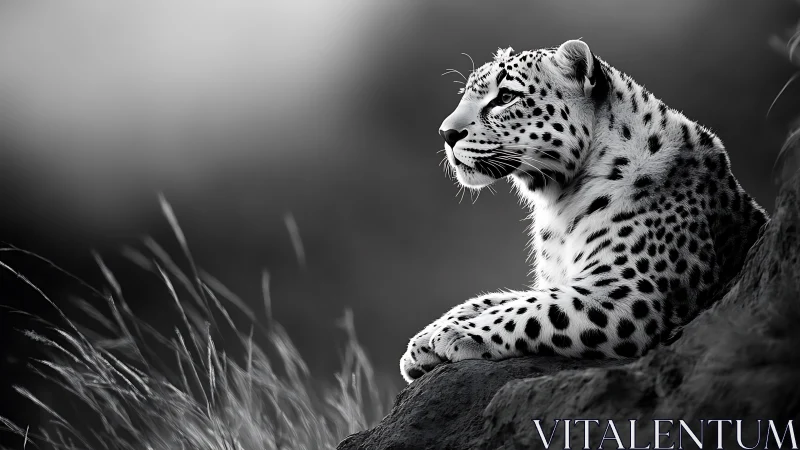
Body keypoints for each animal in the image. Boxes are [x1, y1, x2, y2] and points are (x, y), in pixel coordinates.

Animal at [400, 39, 769, 383]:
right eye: (467, 94)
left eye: (505, 97)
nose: (446, 133)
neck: (559, 201)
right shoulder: (563, 279)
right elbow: (500, 298)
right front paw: (424, 341)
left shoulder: (630, 290)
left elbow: (534, 308)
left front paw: (456, 333)